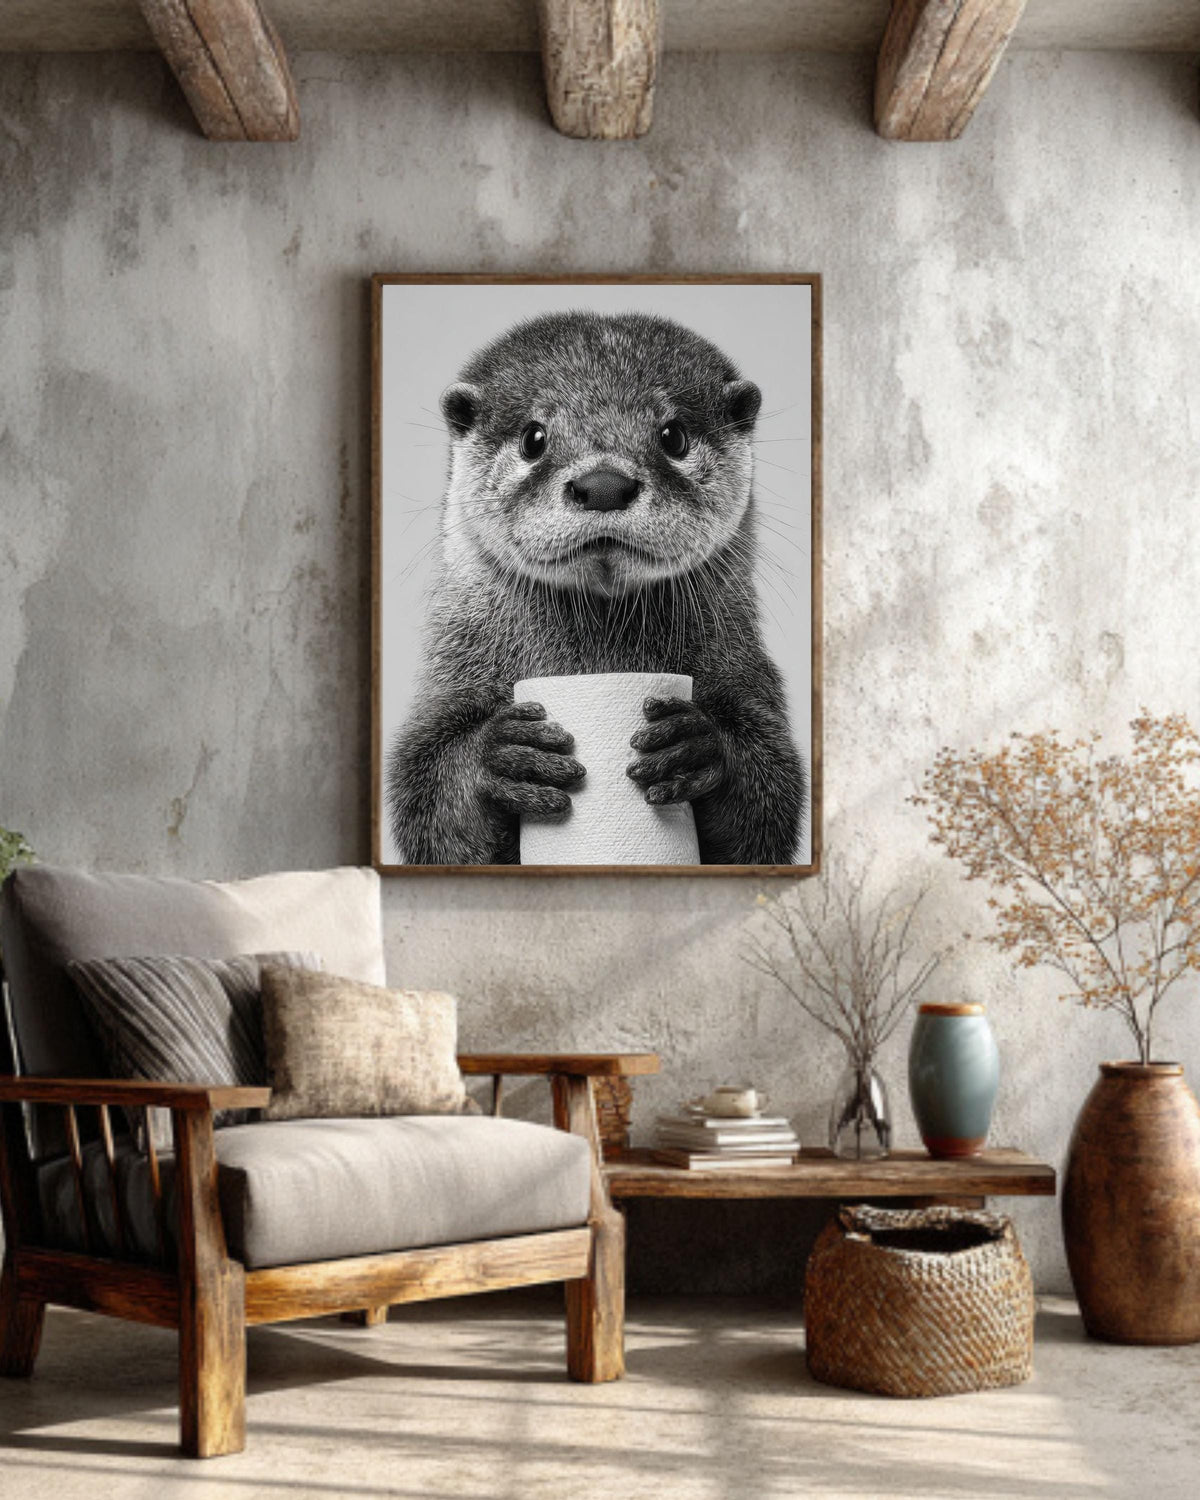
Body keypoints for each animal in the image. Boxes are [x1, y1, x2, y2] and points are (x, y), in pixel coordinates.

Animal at [386, 310, 806, 866]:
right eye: (533, 437)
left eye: (673, 436)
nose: (604, 485)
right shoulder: (448, 680)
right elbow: (429, 809)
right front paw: (497, 758)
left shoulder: (748, 675)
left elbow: (768, 811)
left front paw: (701, 745)